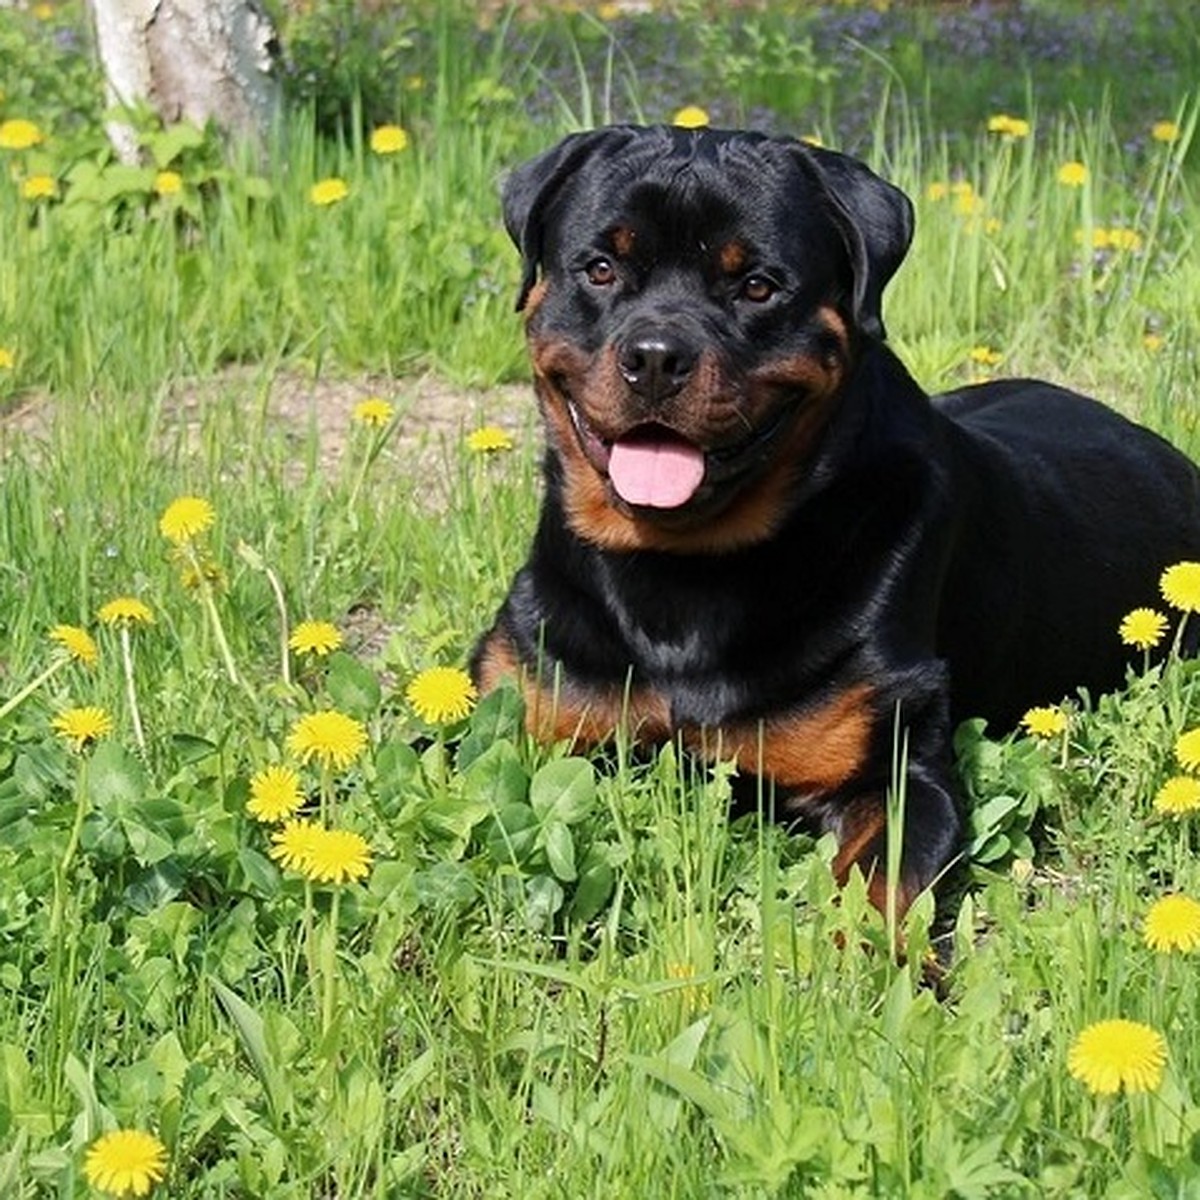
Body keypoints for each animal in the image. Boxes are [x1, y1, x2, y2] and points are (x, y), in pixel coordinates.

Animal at [468, 121, 1200, 912]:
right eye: (600, 269)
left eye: (758, 286)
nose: (656, 356)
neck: (678, 579)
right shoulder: (509, 709)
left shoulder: (900, 775)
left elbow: (879, 885)